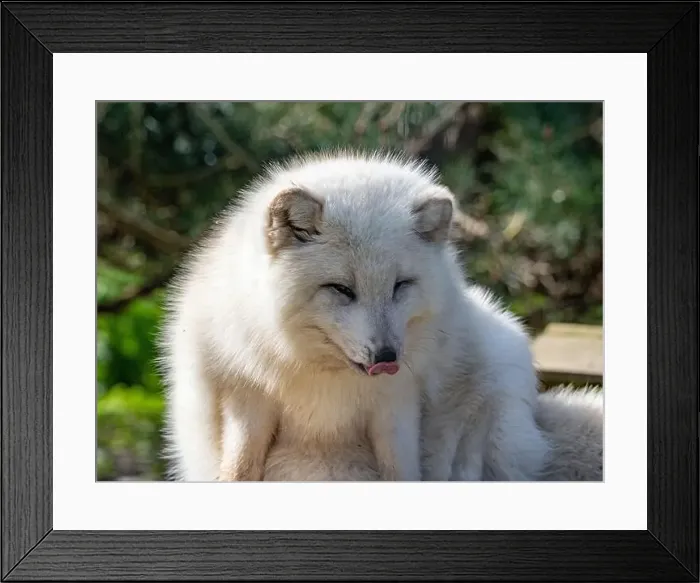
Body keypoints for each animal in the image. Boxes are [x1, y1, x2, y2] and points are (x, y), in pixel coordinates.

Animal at [159, 150, 551, 482]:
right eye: (341, 289)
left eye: (400, 285)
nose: (387, 356)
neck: (326, 380)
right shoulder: (247, 396)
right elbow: (239, 469)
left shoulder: (397, 404)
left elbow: (401, 472)